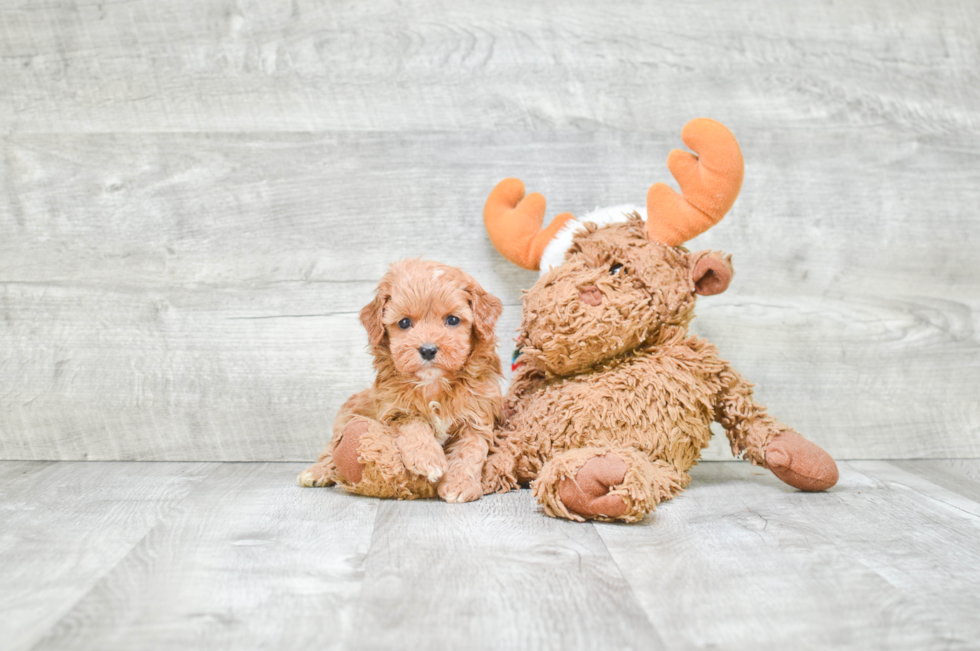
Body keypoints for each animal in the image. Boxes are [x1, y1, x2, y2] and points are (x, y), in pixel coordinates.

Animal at [296, 260, 506, 504]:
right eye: (404, 323)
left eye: (453, 320)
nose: (427, 349)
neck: (433, 383)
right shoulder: (395, 410)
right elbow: (414, 425)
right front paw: (429, 460)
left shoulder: (477, 415)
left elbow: (470, 451)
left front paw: (459, 485)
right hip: (348, 415)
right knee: (331, 448)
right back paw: (317, 471)